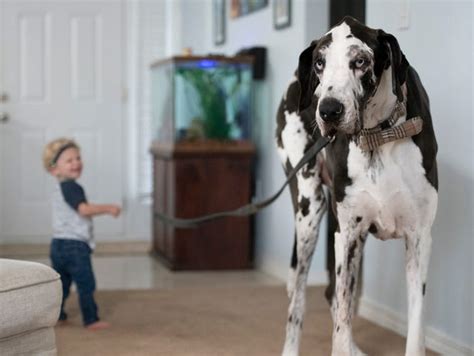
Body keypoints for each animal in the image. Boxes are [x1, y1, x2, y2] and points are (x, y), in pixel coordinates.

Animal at [278, 17, 436, 356]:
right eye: (320, 63)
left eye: (360, 61)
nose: (328, 110)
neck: (379, 135)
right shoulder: (348, 236)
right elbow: (341, 321)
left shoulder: (419, 238)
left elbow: (416, 325)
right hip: (311, 212)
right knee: (298, 301)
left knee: (331, 296)